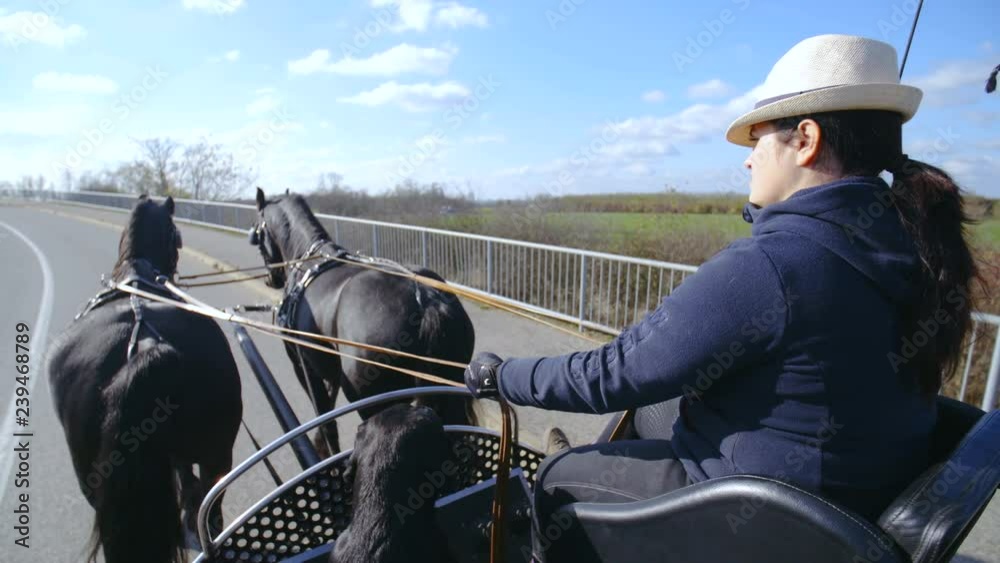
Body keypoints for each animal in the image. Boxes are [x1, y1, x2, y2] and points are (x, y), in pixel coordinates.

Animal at [249, 187, 477, 457]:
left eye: (258, 232)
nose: (270, 278)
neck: (308, 261)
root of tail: (425, 298)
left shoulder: (303, 366)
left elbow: (325, 418)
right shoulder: (330, 369)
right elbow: (329, 401)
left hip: (374, 403)